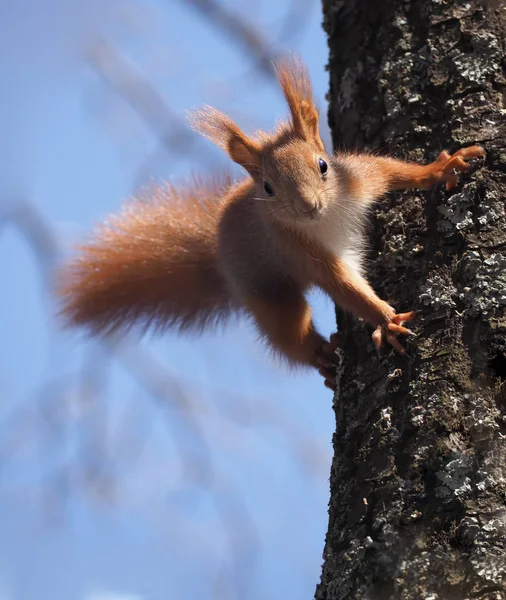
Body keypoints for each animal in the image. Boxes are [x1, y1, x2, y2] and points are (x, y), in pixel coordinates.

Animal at [57, 58, 484, 392]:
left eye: (323, 165)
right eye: (268, 188)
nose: (309, 206)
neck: (327, 217)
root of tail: (219, 258)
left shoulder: (358, 179)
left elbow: (393, 171)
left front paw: (441, 168)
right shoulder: (297, 248)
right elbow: (344, 287)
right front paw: (386, 319)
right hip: (267, 294)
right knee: (290, 335)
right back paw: (322, 355)